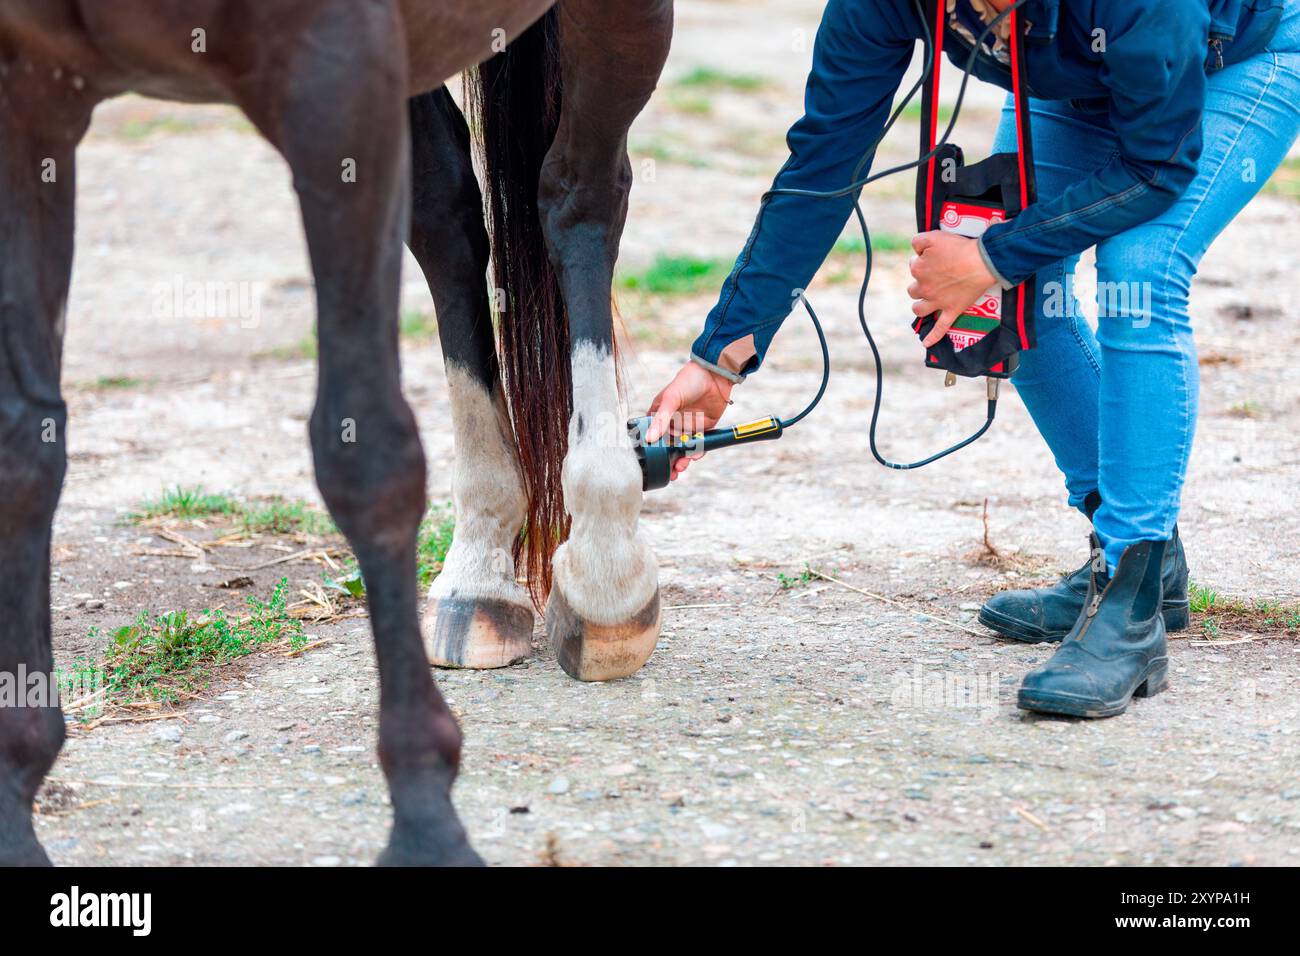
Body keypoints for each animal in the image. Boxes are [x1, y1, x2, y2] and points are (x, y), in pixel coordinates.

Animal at [0, 0, 670, 868]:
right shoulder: (29, 96)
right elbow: (23, 452)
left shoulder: (334, 72)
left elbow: (367, 456)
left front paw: (426, 824)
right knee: (449, 211)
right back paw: (479, 571)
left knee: (577, 195)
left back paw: (605, 563)